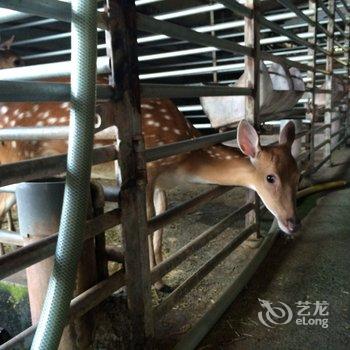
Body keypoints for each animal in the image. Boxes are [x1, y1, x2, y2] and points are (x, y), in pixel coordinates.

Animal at [0, 42, 300, 292]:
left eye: (298, 175)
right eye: (270, 177)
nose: (292, 223)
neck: (184, 155)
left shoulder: (162, 183)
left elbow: (159, 226)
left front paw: (162, 280)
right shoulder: (148, 171)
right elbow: (146, 224)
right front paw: (154, 283)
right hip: (14, 160)